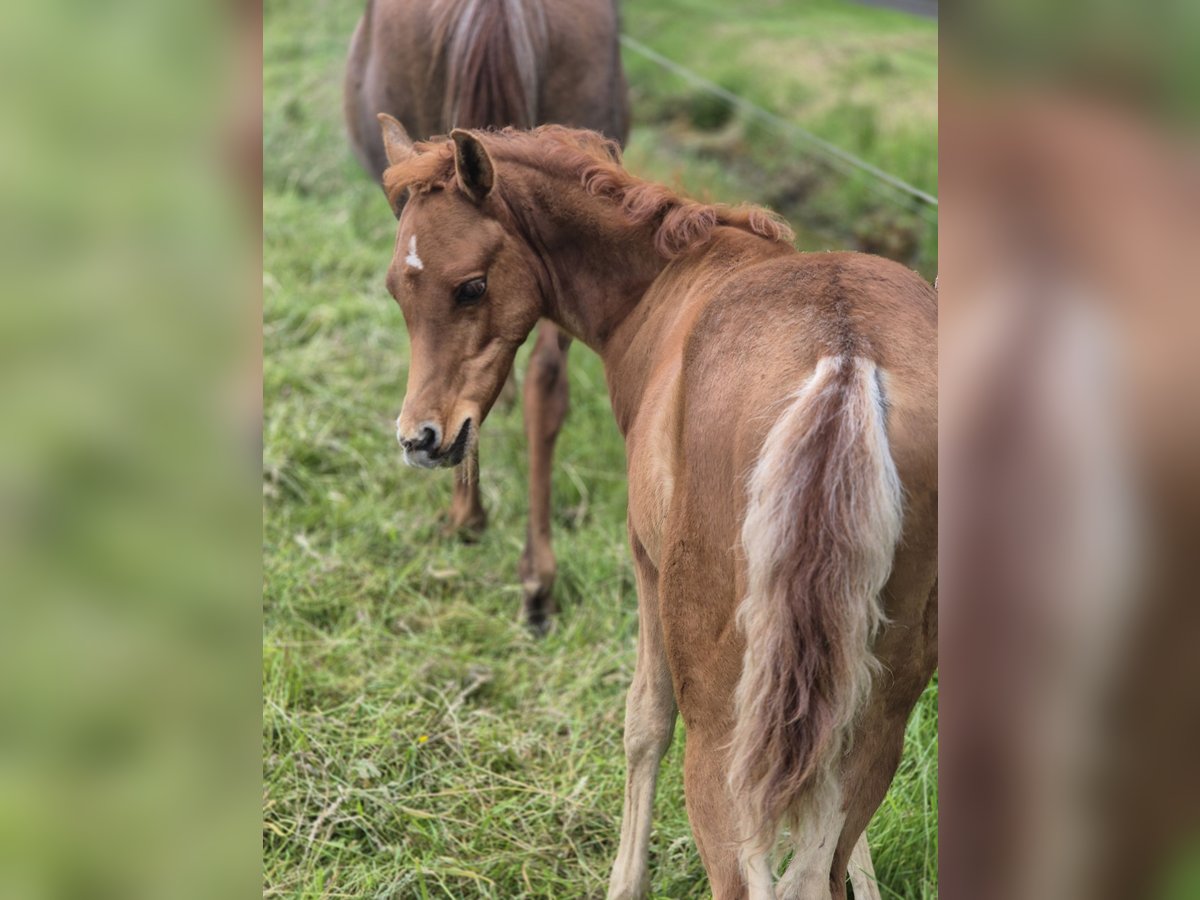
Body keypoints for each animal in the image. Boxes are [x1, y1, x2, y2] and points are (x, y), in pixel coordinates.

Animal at [345, 0, 633, 633]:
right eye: (392, 293)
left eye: (473, 287)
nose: (416, 442)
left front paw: (465, 510)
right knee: (545, 383)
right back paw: (537, 580)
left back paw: (470, 521)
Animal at [374, 121, 936, 900]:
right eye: (397, 288)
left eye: (472, 286)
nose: (421, 438)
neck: (664, 286)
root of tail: (846, 360)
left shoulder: (645, 561)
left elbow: (644, 720)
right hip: (884, 694)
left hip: (723, 719)